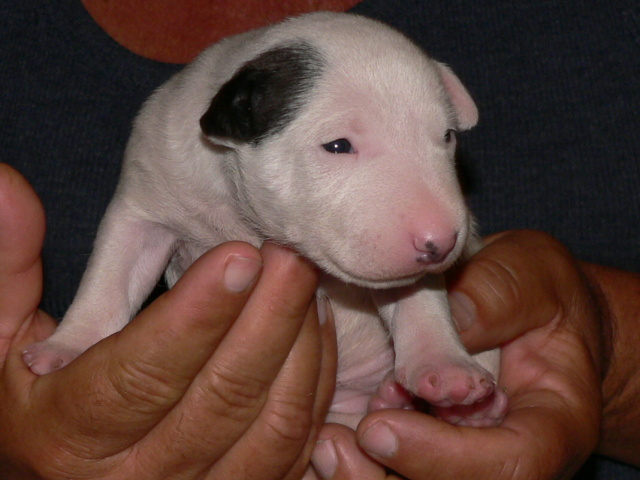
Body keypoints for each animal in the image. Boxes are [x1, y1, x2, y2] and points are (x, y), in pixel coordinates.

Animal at [23, 12, 508, 428]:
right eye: (338, 145)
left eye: (447, 136)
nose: (440, 241)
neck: (249, 221)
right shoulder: (147, 200)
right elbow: (112, 277)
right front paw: (68, 347)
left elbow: (419, 299)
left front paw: (444, 366)